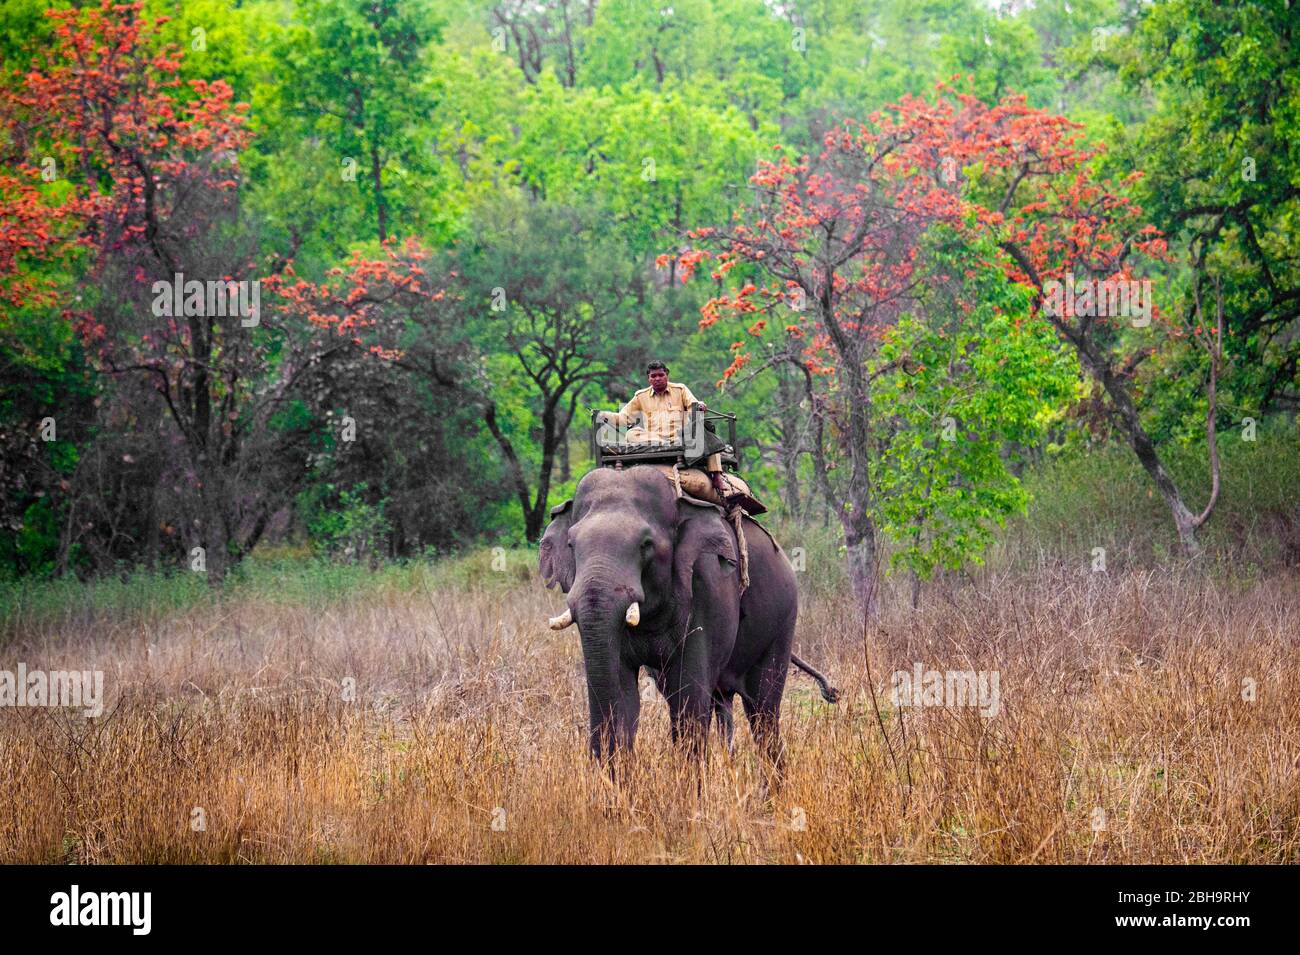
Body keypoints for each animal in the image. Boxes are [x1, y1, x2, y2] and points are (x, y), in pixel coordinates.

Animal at [543, 462, 837, 769]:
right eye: (571, 545)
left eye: (646, 544)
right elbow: (623, 691)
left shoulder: (706, 587)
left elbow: (689, 695)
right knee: (720, 701)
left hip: (783, 618)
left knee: (763, 709)